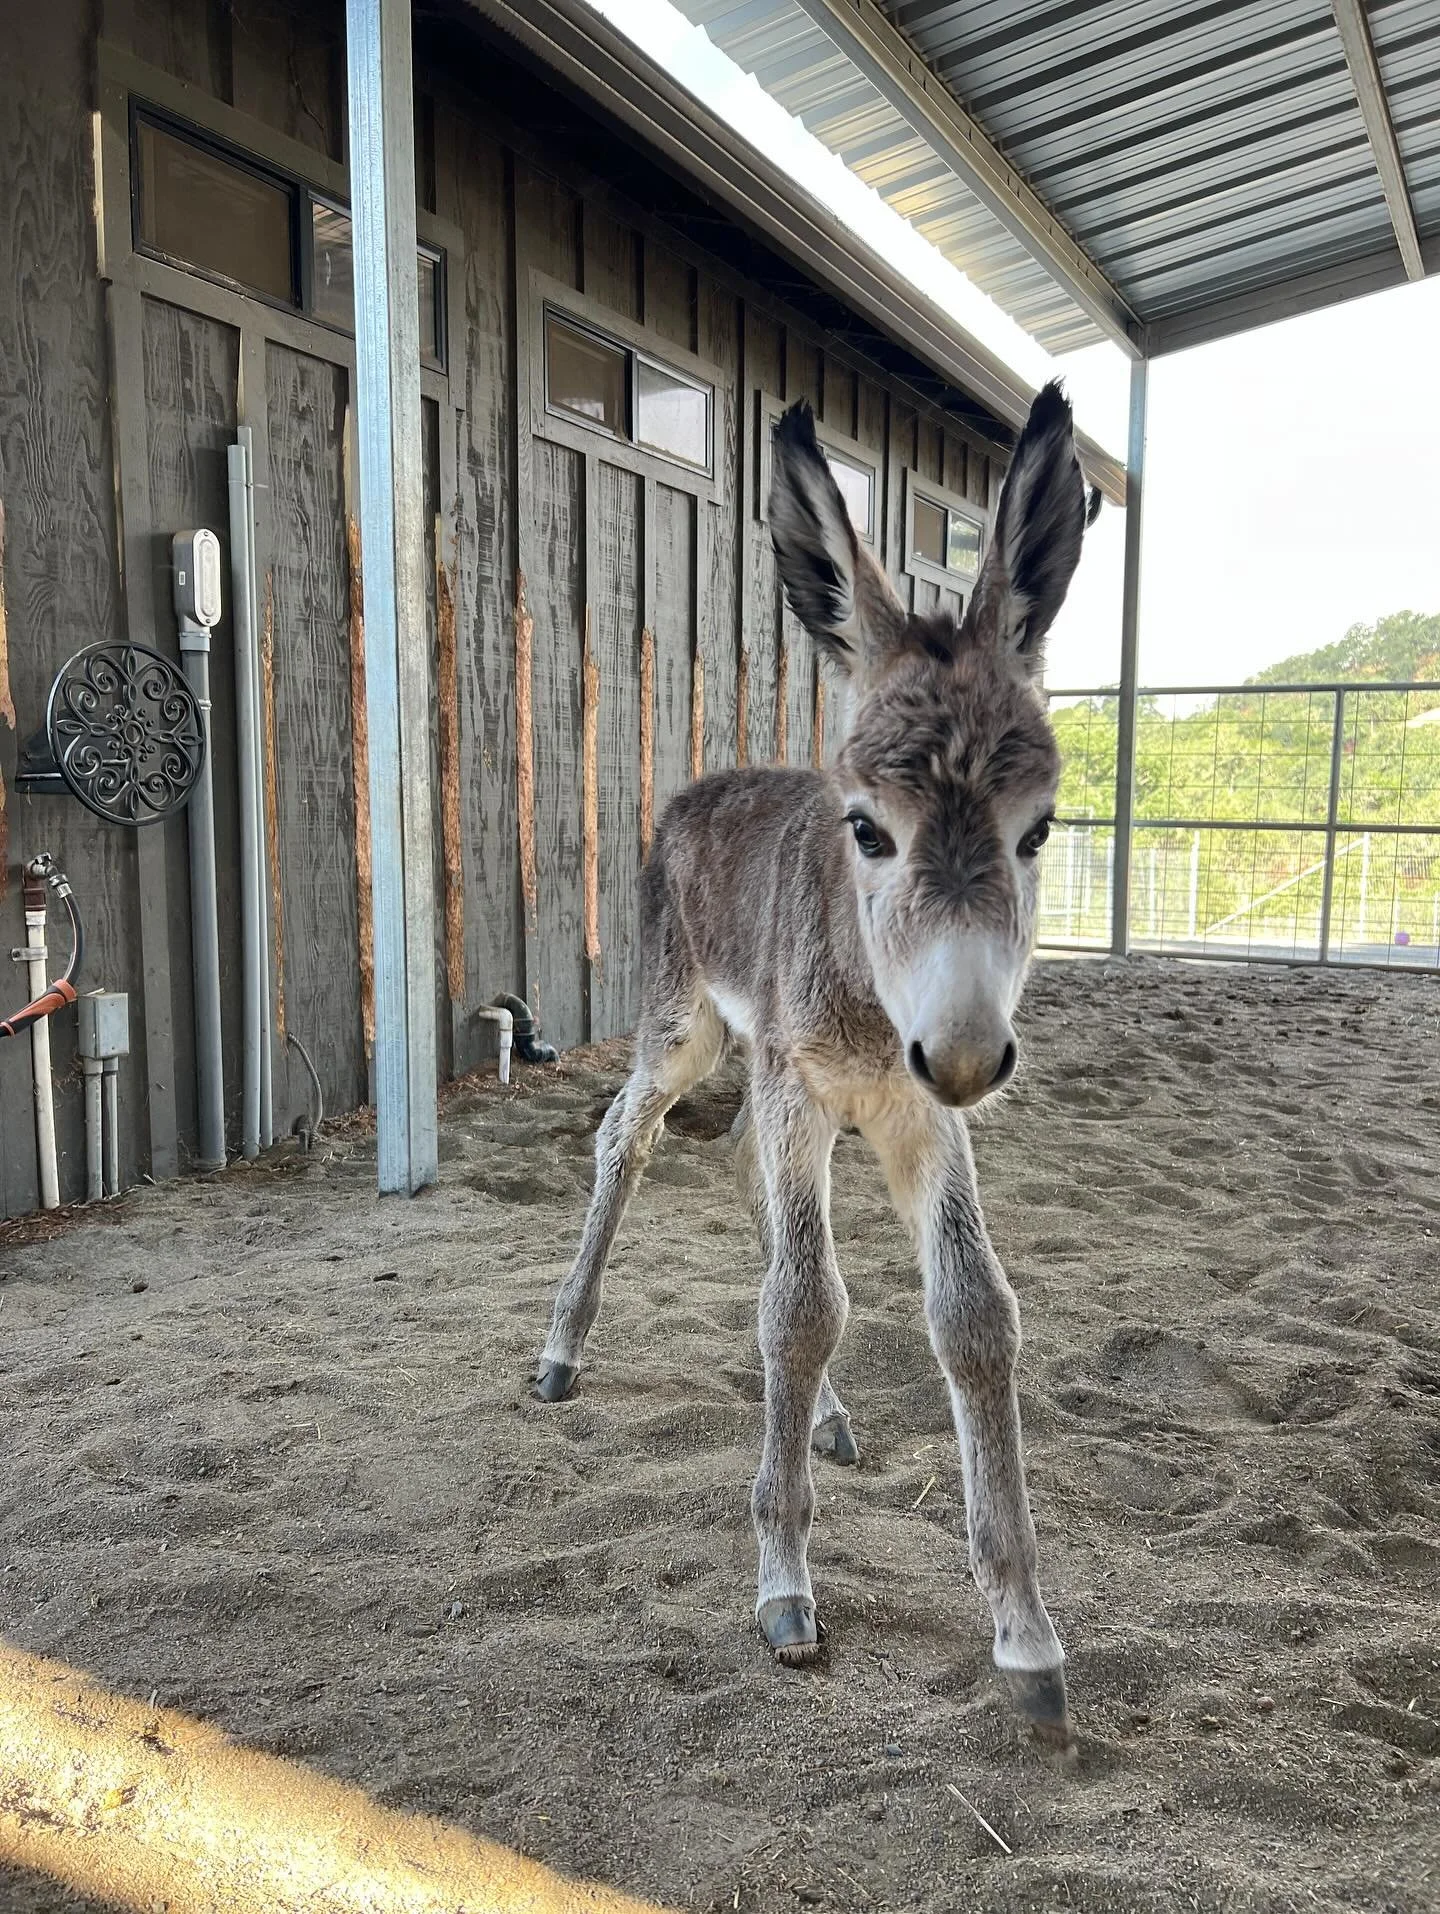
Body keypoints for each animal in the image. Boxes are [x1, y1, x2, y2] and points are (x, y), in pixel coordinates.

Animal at [534, 380, 1089, 1749]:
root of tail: (702, 783)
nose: (966, 1053)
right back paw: (563, 1350)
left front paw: (1024, 1633)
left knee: (742, 1176)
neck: (878, 1006)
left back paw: (826, 1418)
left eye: (1040, 831)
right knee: (627, 1139)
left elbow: (973, 1314)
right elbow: (800, 1306)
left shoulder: (917, 1113)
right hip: (688, 1024)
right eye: (867, 831)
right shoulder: (809, 1079)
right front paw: (782, 1583)